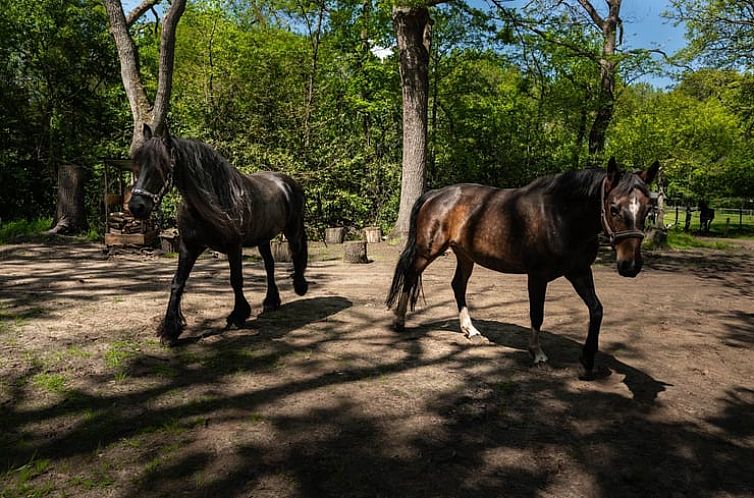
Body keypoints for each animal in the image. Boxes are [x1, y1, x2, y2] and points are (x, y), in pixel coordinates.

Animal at [128, 124, 306, 344]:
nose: (136, 207)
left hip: (292, 229)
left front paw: (238, 316)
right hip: (263, 239)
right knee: (270, 265)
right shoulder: (189, 246)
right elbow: (177, 283)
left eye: (160, 168)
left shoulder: (234, 246)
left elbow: (236, 279)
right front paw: (171, 330)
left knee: (296, 252)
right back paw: (271, 302)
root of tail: (286, 182)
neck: (209, 203)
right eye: (136, 166)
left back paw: (300, 286)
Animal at [384, 158, 656, 380]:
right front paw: (537, 354)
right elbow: (537, 313)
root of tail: (436, 194)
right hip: (428, 251)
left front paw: (587, 361)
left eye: (647, 208)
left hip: (464, 255)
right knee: (411, 274)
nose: (630, 265)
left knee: (457, 285)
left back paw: (471, 330)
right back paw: (399, 321)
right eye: (613, 208)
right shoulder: (537, 275)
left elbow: (596, 310)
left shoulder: (579, 272)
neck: (561, 215)